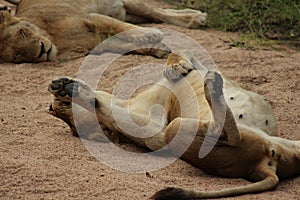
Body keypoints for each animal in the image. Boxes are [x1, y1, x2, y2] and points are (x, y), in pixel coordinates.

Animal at [0, 0, 206, 62]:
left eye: (23, 32)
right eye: (18, 56)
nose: (41, 51)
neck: (56, 41)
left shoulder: (89, 18)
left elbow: (123, 28)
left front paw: (152, 35)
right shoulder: (98, 42)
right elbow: (128, 44)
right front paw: (159, 49)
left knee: (156, 12)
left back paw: (196, 18)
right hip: (127, 12)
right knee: (155, 14)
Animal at [47, 51, 300, 198]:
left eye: (64, 110)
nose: (54, 105)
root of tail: (263, 165)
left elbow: (180, 54)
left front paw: (177, 67)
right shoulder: (157, 131)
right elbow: (109, 112)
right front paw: (73, 90)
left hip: (292, 145)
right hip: (177, 128)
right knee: (230, 135)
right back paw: (212, 87)